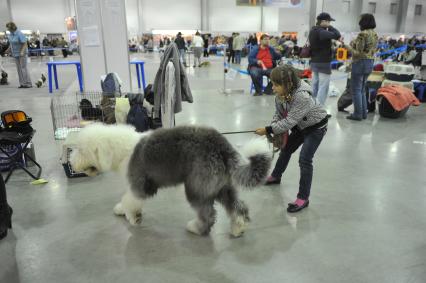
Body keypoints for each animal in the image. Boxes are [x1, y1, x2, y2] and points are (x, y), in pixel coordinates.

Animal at [68, 124, 272, 237]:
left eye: (80, 149)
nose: (71, 162)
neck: (121, 150)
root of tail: (223, 146)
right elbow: (127, 200)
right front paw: (121, 210)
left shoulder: (139, 185)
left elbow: (129, 199)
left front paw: (133, 217)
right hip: (221, 185)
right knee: (238, 206)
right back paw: (239, 228)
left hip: (197, 186)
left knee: (208, 214)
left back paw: (195, 228)